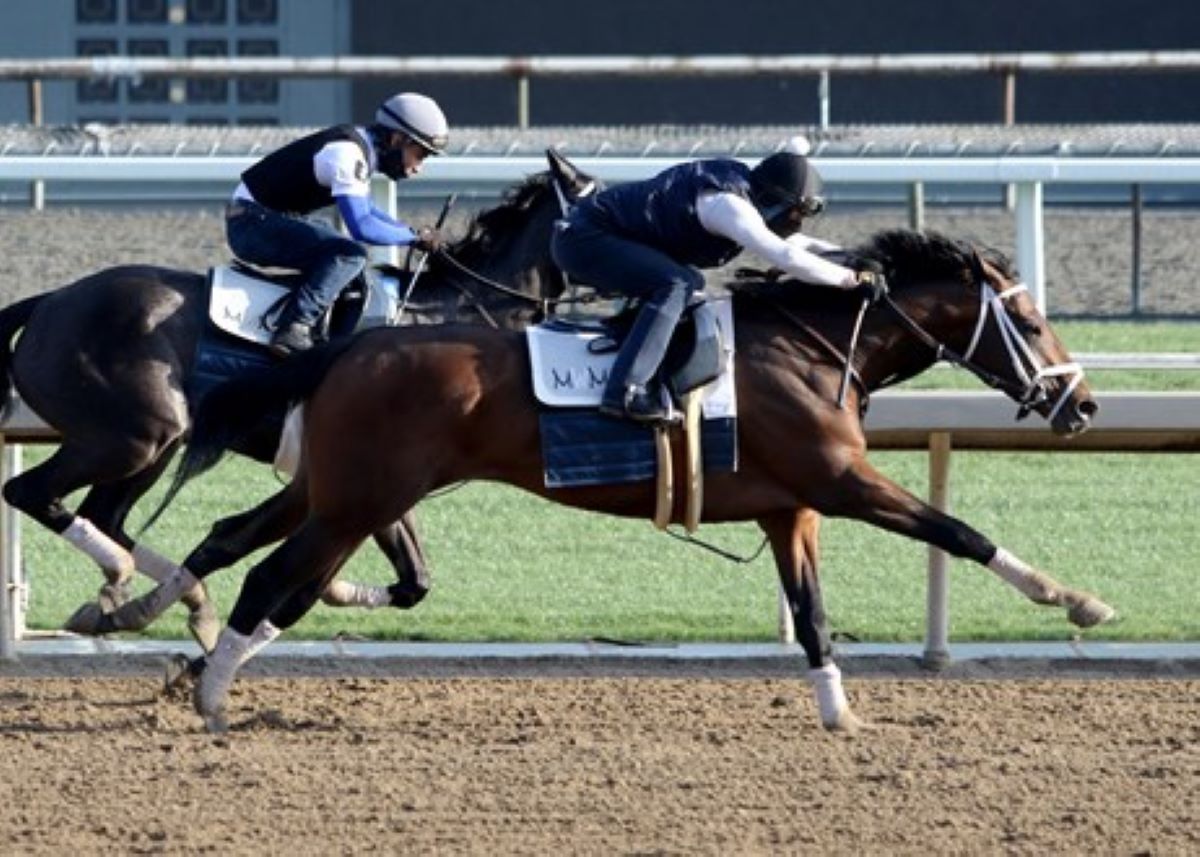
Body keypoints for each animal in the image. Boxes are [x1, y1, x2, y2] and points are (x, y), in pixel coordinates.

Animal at [0, 150, 600, 652]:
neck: (447, 314)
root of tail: (51, 300)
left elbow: (413, 581)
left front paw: (333, 591)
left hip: (155, 443)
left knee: (104, 515)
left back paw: (170, 602)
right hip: (135, 436)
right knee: (34, 493)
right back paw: (123, 581)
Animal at [154, 230, 1108, 729]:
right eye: (1030, 321)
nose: (1085, 404)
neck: (810, 351)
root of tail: (347, 347)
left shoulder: (792, 510)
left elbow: (811, 614)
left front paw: (839, 712)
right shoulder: (843, 480)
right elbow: (958, 531)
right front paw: (1074, 598)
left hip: (336, 491)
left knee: (256, 556)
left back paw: (194, 656)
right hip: (362, 499)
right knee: (272, 578)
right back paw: (212, 696)